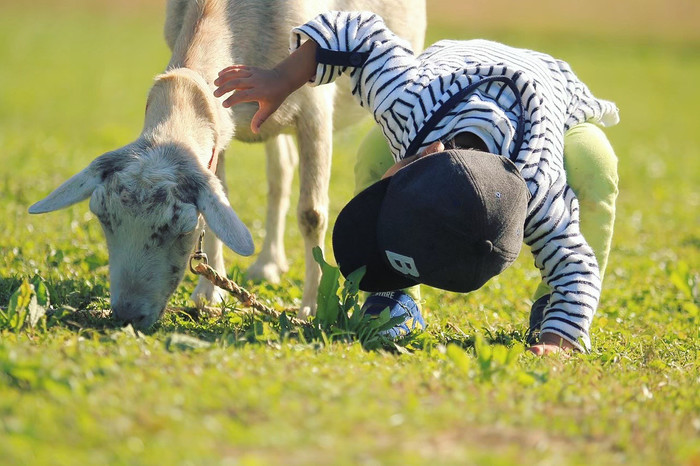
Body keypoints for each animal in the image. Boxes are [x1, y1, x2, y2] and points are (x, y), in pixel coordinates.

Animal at [28, 0, 426, 328]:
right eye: (104, 218)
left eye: (179, 226)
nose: (127, 316)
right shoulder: (218, 135)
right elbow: (222, 202)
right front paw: (208, 295)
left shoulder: (315, 109)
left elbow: (311, 213)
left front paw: (312, 307)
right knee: (280, 172)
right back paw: (268, 264)